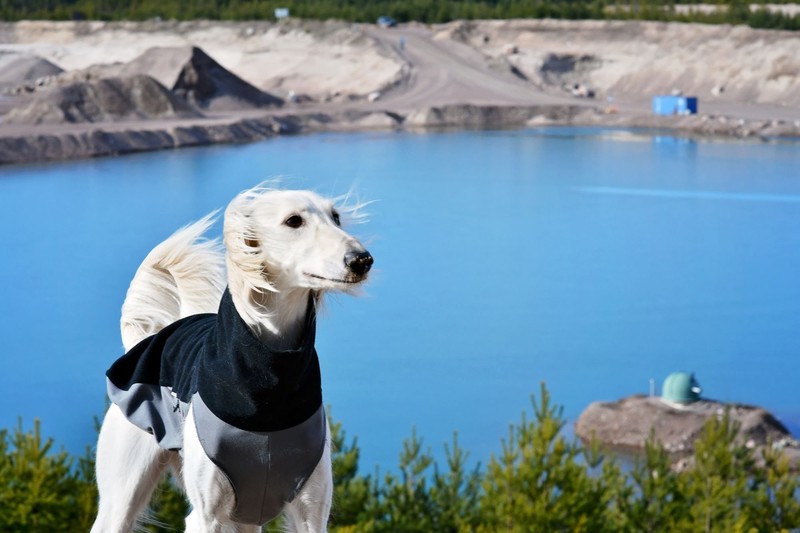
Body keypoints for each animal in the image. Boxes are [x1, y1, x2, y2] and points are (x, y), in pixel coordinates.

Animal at [92, 185, 374, 528]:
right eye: (293, 220)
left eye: (336, 217)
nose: (361, 260)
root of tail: (143, 339)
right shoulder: (207, 516)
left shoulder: (311, 512)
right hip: (119, 501)